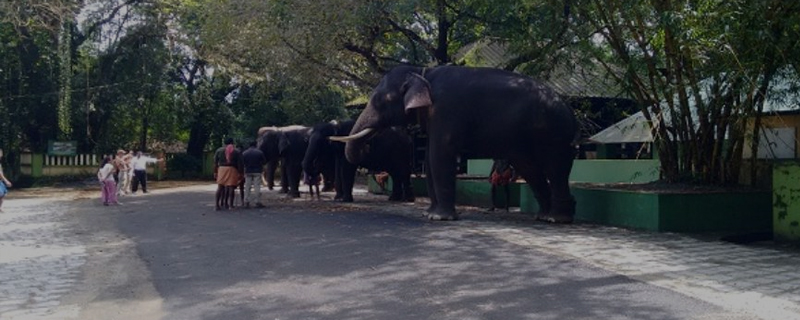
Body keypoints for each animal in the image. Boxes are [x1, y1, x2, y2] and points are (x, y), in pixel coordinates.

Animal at [334, 65, 580, 222]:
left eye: (380, 100)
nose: (368, 148)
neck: (423, 72)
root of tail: (568, 108)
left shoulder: (446, 111)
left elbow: (439, 154)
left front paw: (439, 217)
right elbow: (430, 160)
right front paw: (429, 214)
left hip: (554, 133)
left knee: (555, 167)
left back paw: (557, 219)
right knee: (530, 168)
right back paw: (545, 216)